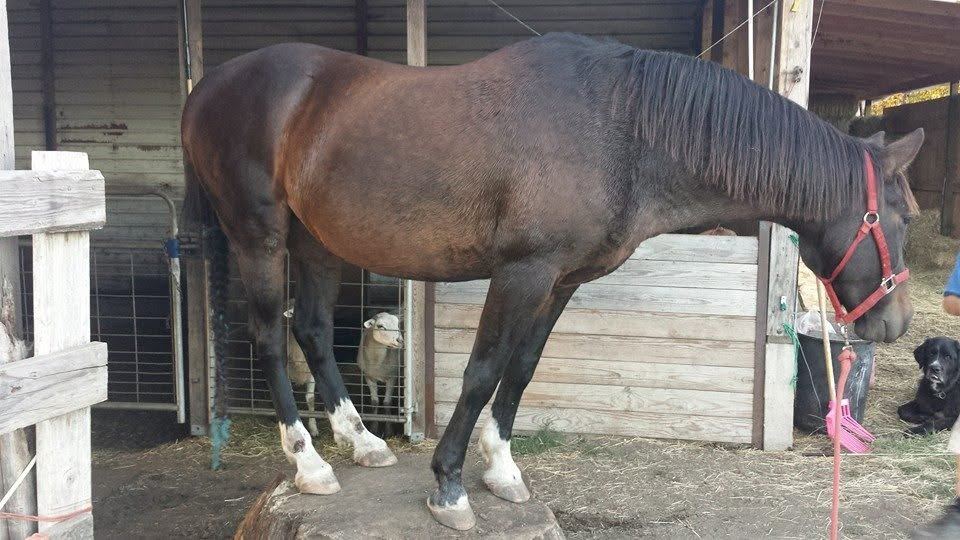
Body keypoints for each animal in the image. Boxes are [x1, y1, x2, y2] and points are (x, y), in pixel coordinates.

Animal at [181, 33, 922, 530]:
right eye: (903, 218)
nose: (894, 325)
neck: (621, 128)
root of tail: (205, 90)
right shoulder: (522, 271)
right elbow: (481, 370)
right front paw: (449, 486)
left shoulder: (563, 280)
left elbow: (522, 368)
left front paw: (501, 468)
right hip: (259, 236)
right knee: (271, 338)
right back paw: (310, 465)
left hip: (316, 241)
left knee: (310, 329)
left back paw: (362, 441)